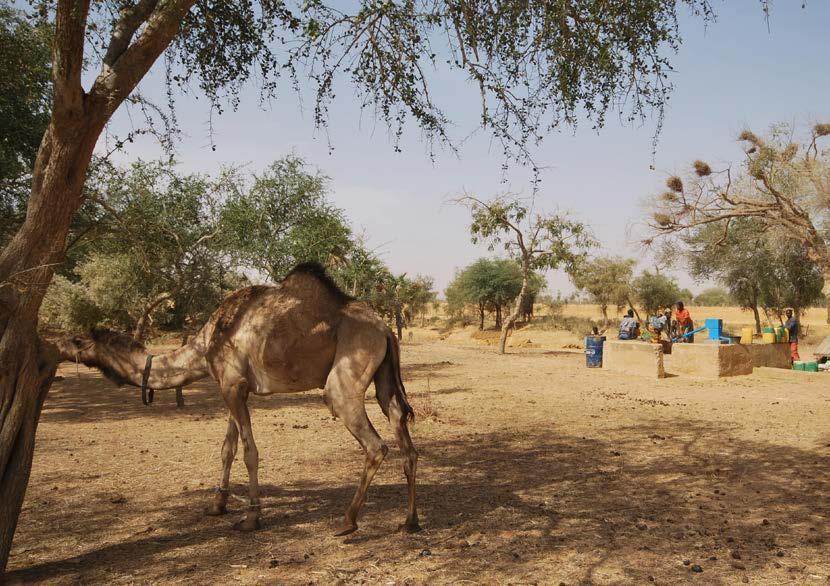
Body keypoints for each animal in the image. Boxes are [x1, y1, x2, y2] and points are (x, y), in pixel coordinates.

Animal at [57, 262, 420, 532]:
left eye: (78, 341)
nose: (57, 346)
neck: (206, 342)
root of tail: (385, 329)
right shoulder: (231, 386)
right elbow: (226, 449)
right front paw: (217, 504)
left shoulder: (232, 384)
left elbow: (249, 452)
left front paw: (251, 517)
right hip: (384, 376)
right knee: (402, 429)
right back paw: (409, 521)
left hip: (343, 381)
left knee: (375, 444)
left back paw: (347, 521)